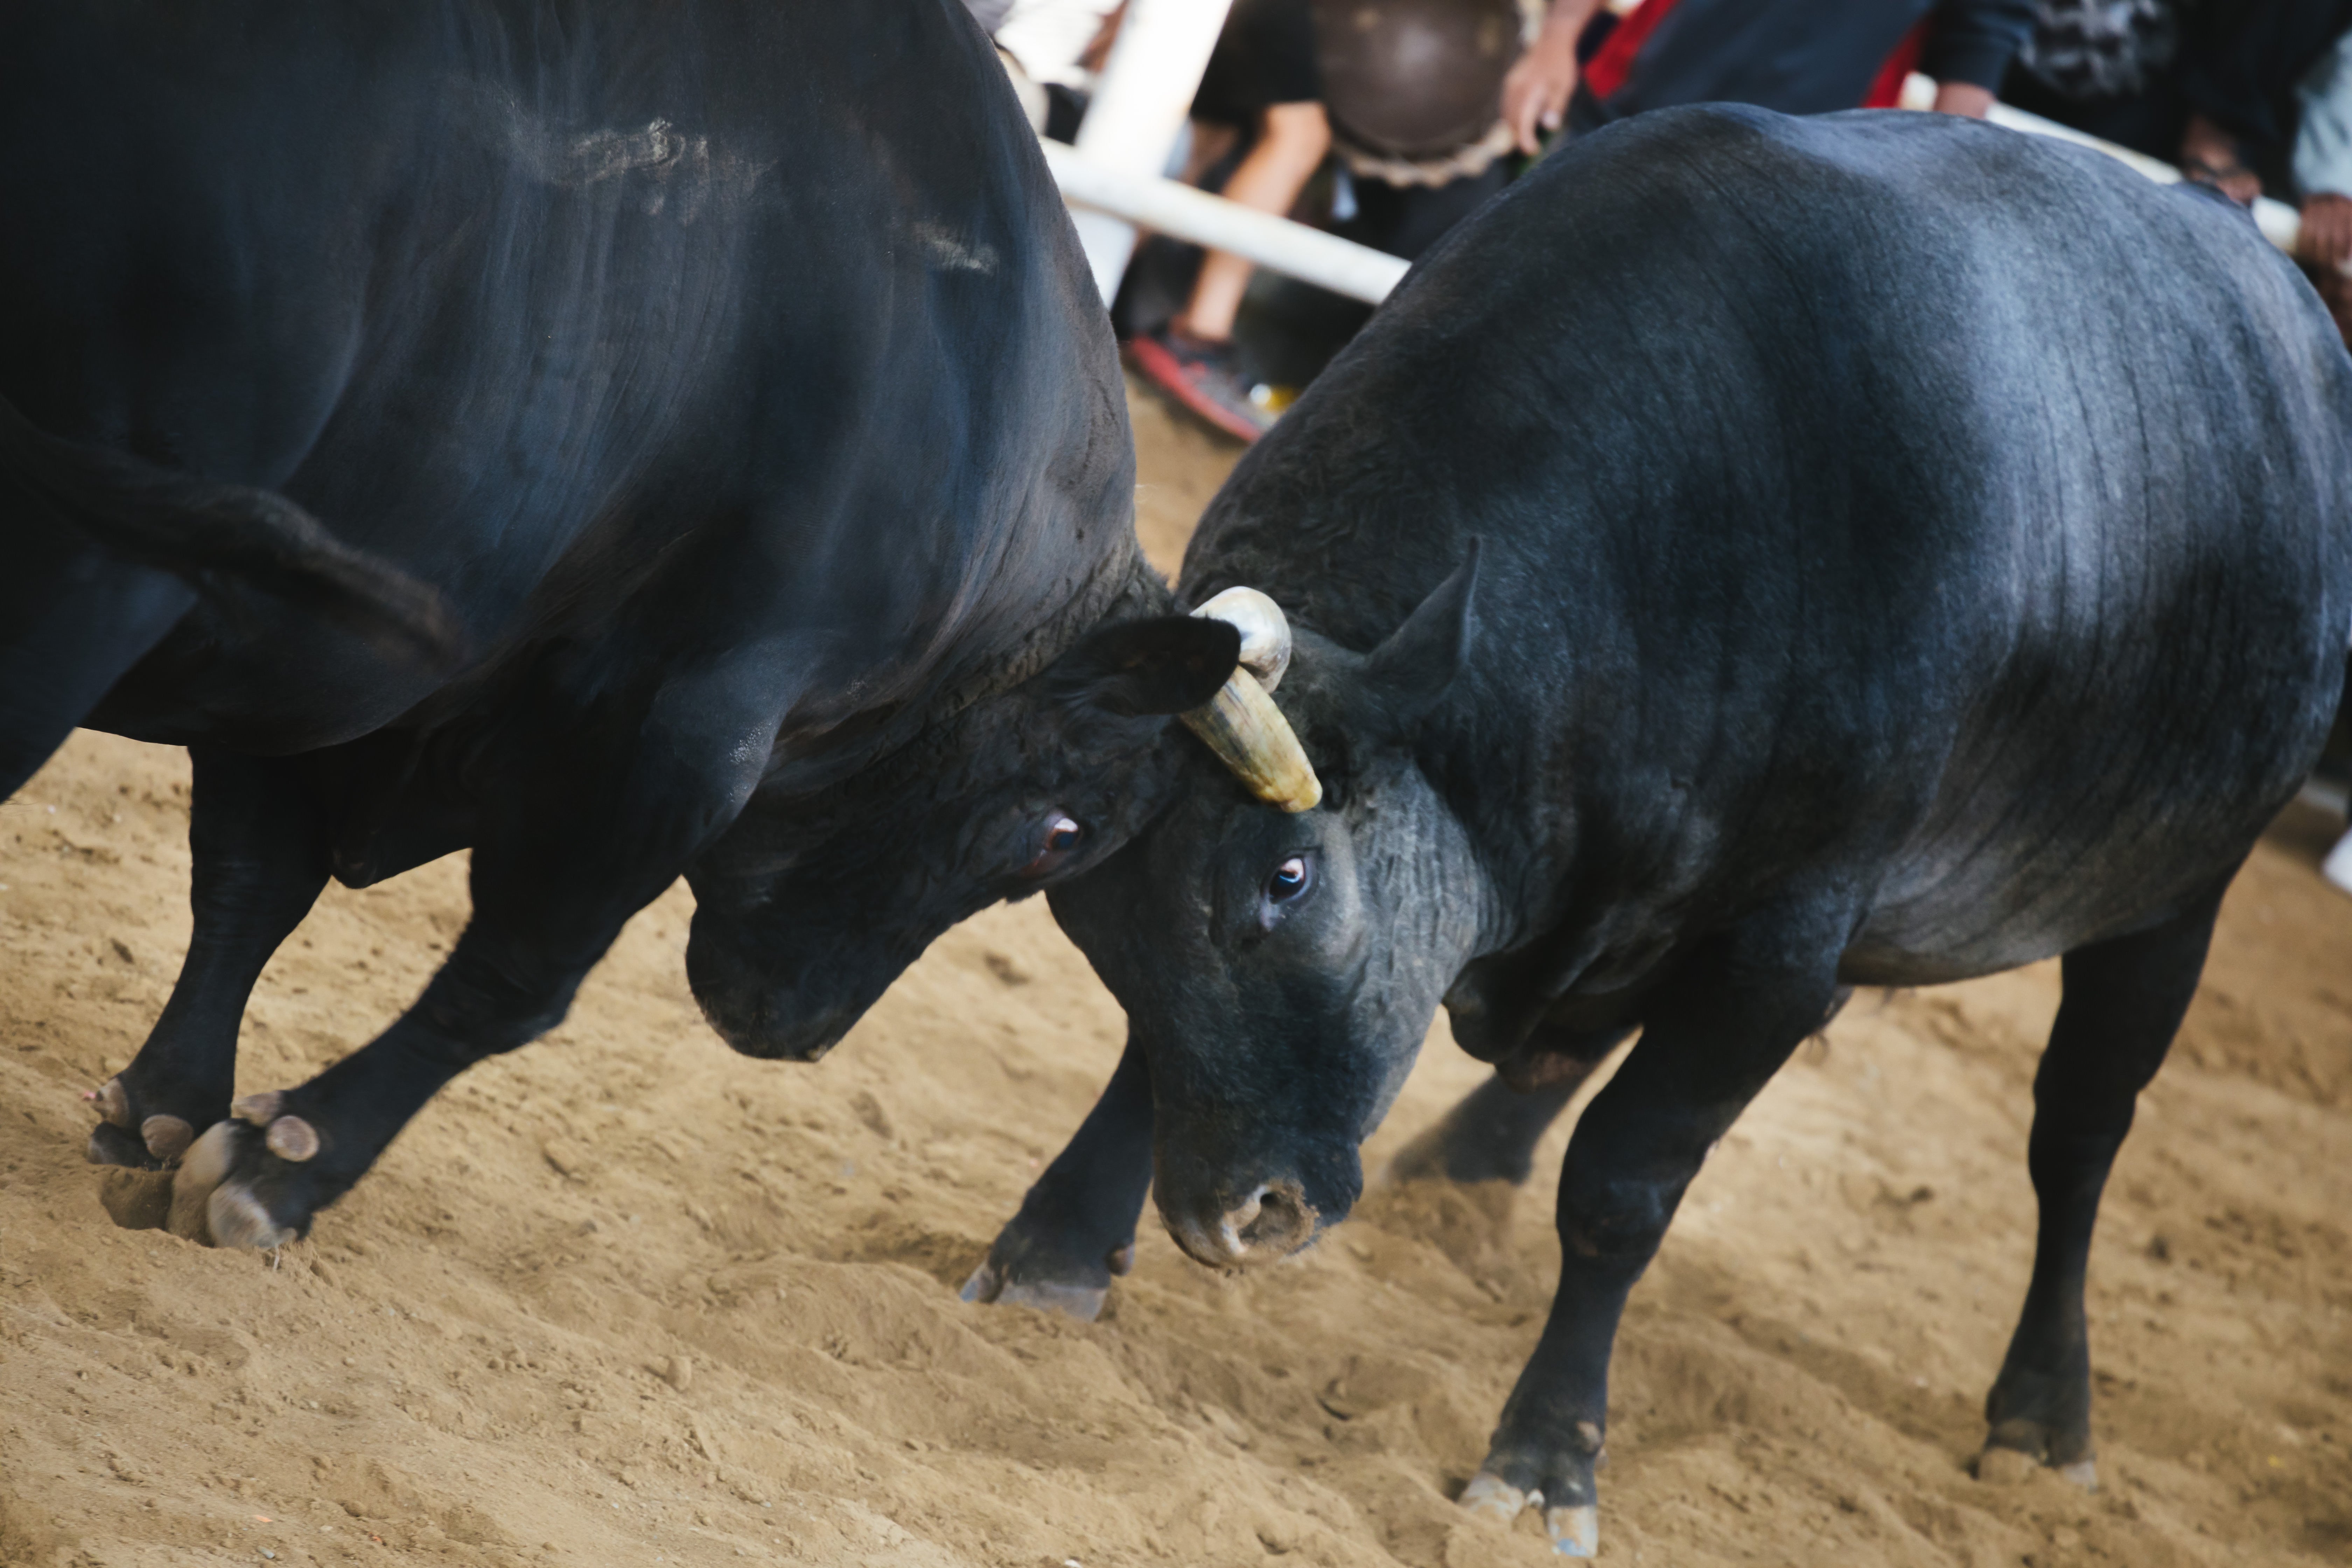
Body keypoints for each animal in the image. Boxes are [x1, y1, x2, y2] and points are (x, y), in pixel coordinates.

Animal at [0, 0, 1242, 1251]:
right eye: (1061, 836)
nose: (801, 1032)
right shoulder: (687, 728)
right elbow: (515, 976)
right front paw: (283, 1166)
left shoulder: (325, 657)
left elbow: (251, 874)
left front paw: (167, 1112)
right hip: (97, 567)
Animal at [974, 110, 2352, 1561]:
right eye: (1090, 917)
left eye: (1288, 879)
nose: (1240, 1215)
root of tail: (2277, 302)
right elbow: (1155, 1047)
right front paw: (1057, 1249)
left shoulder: (1775, 950)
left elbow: (1621, 1187)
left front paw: (1542, 1460)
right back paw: (1457, 1168)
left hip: (2170, 900)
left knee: (2077, 1137)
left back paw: (2042, 1411)